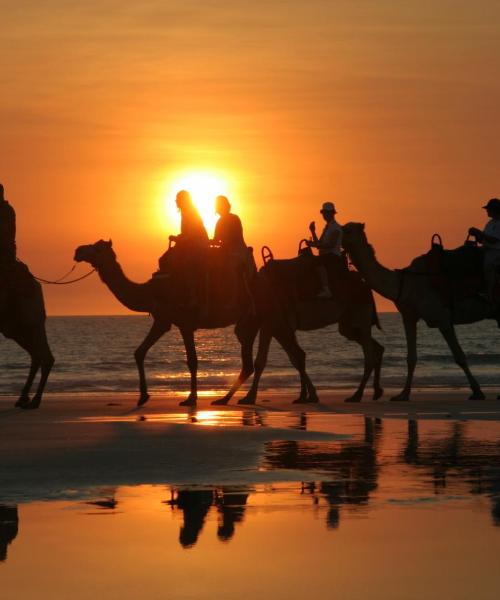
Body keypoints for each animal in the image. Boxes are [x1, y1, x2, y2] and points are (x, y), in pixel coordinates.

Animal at [0, 270, 54, 410]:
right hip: (17, 326)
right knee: (37, 355)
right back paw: (24, 399)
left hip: (26, 320)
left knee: (44, 356)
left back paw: (34, 401)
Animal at [213, 251, 384, 406]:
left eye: (242, 335)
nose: (245, 368)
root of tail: (365, 285)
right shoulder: (274, 326)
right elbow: (293, 358)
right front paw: (306, 396)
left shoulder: (274, 324)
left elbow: (272, 360)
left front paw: (247, 397)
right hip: (347, 322)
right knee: (374, 346)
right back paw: (376, 391)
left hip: (361, 312)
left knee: (368, 354)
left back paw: (357, 395)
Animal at [342, 223, 494, 400]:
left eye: (348, 230)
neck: (405, 284)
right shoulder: (409, 316)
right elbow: (411, 358)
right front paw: (403, 394)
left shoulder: (443, 319)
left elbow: (460, 357)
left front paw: (477, 391)